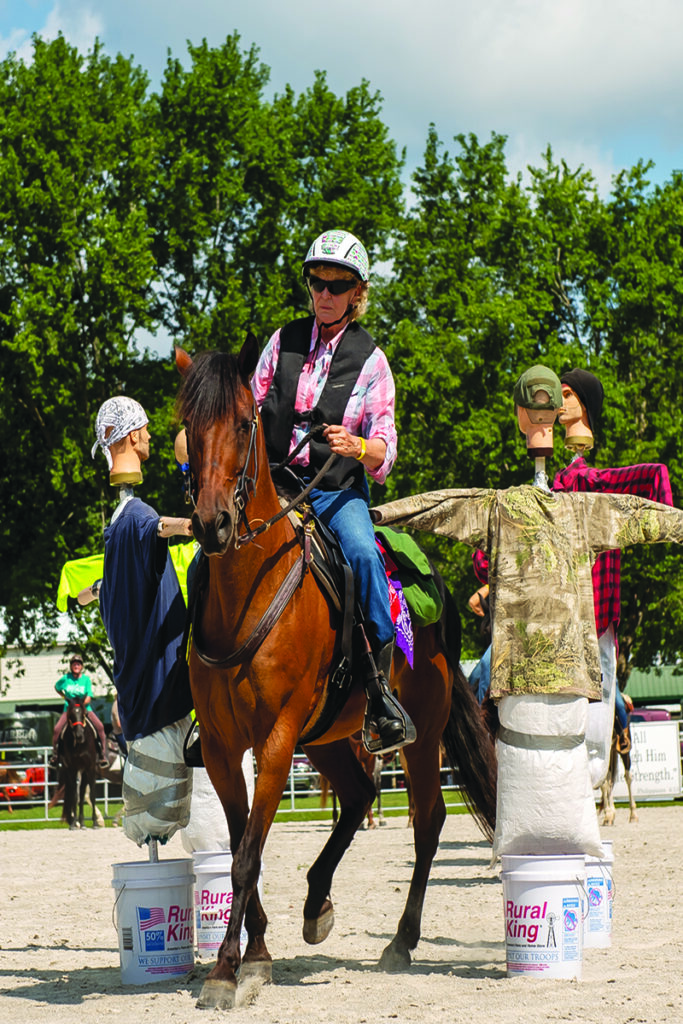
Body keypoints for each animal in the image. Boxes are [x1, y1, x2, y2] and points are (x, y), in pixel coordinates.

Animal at [58, 696, 99, 831]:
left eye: (84, 714)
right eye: (70, 715)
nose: (79, 735)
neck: (80, 745)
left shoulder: (90, 768)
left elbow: (92, 795)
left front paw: (95, 823)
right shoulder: (72, 768)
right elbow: (74, 796)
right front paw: (72, 823)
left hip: (85, 771)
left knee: (81, 794)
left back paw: (82, 823)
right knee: (75, 794)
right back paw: (77, 822)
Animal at [176, 342, 497, 1007]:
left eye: (242, 423)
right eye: (190, 426)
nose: (213, 524)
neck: (250, 591)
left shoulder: (275, 740)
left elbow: (246, 857)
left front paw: (228, 970)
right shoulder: (221, 747)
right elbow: (242, 848)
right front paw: (256, 955)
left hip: (419, 735)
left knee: (428, 821)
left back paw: (401, 941)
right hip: (325, 738)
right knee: (357, 798)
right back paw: (317, 904)